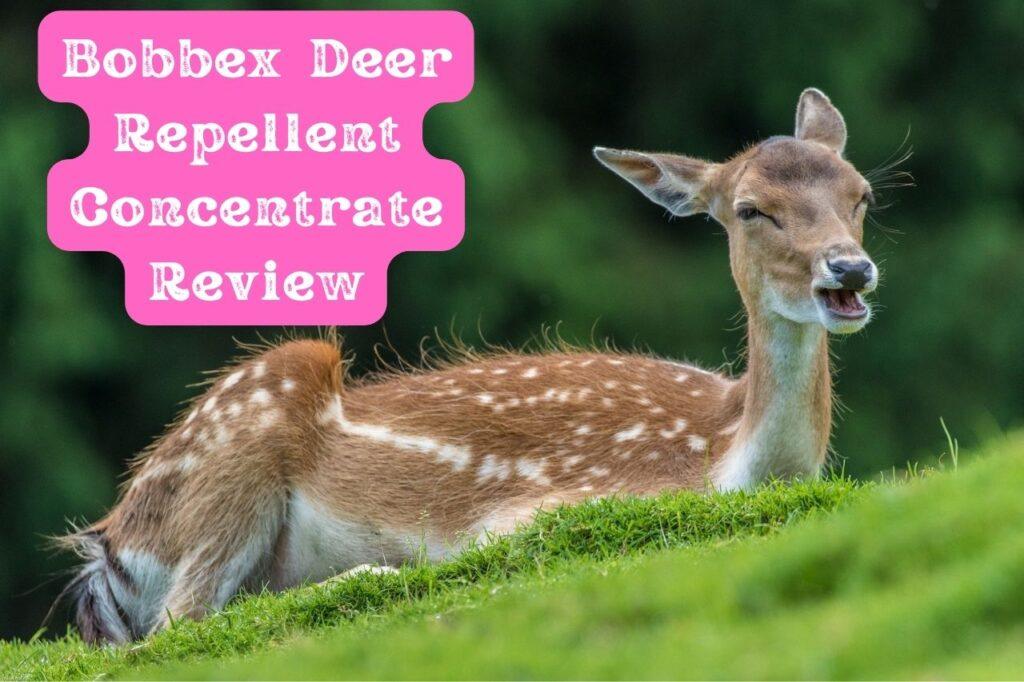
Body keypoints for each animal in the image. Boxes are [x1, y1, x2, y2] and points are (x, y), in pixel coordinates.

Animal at [59, 88, 881, 644]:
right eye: (750, 209)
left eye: (861, 193)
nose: (850, 269)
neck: (730, 455)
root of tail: (108, 547)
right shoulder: (545, 508)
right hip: (249, 427)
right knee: (182, 620)